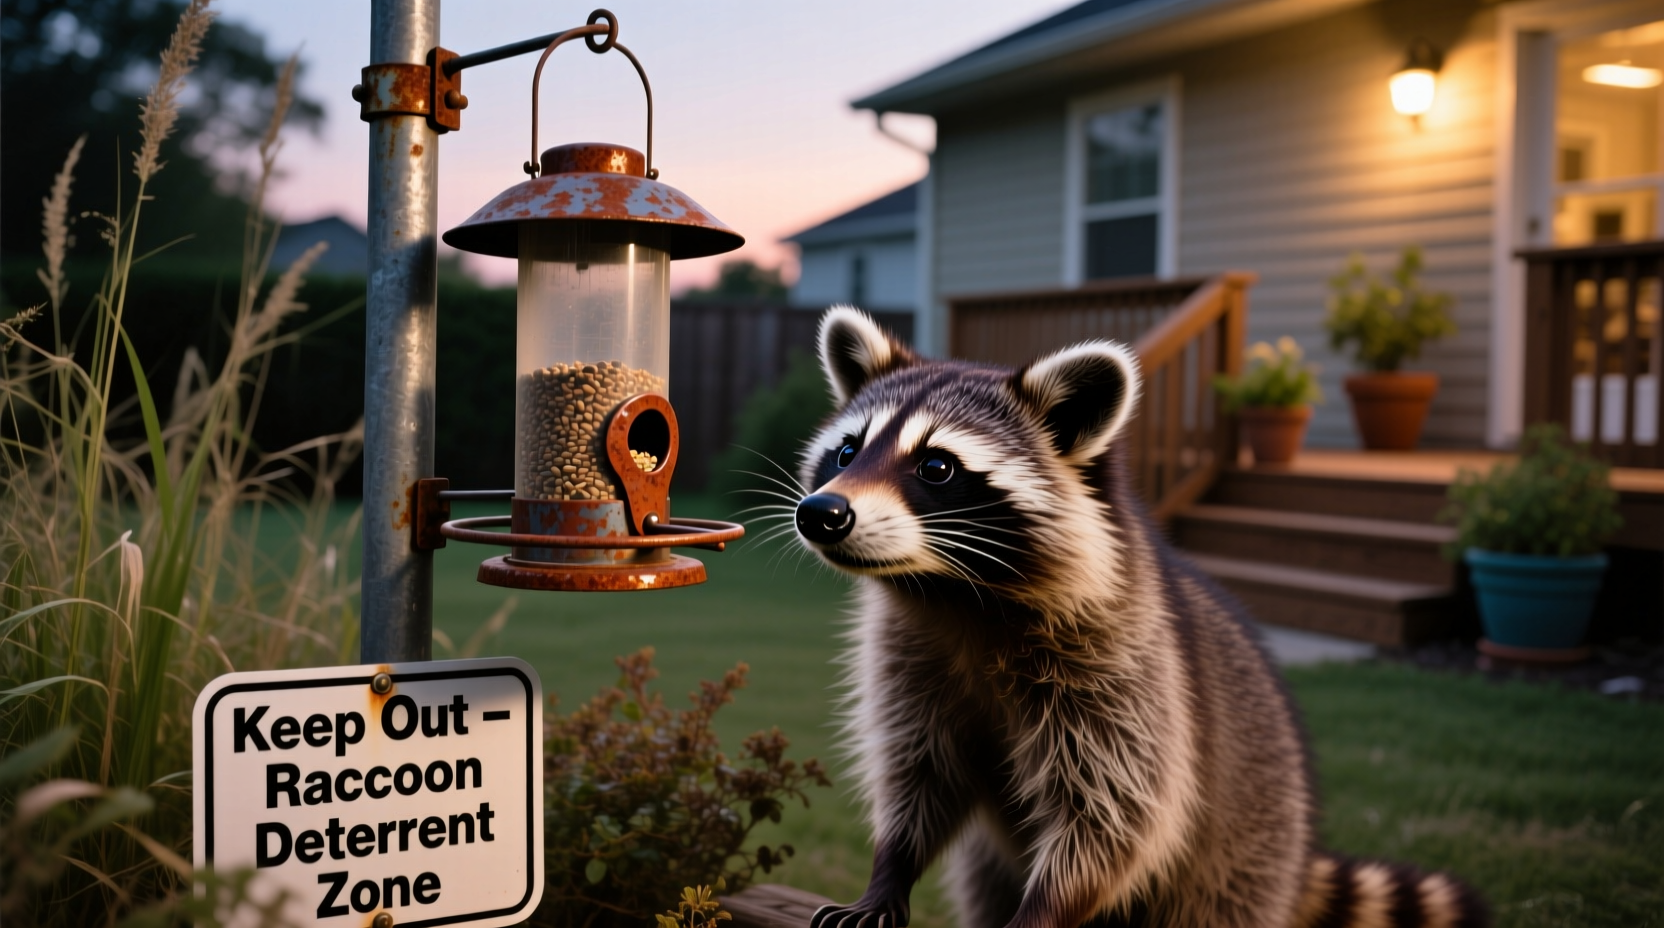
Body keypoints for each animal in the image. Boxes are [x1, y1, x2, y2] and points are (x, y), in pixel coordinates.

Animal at [790, 308, 1487, 928]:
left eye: (937, 466)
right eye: (847, 452)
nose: (823, 513)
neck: (956, 594)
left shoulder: (1121, 667)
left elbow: (1119, 813)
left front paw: (1044, 910)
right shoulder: (909, 656)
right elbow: (919, 772)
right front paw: (889, 872)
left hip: (1244, 857)